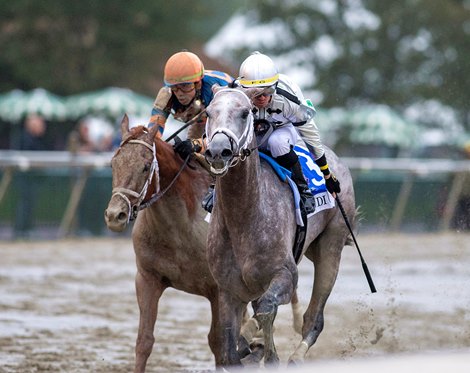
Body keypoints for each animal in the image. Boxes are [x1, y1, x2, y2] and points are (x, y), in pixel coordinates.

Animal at [103, 115, 302, 370]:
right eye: (113, 164)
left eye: (146, 166)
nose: (115, 215)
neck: (179, 228)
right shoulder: (147, 279)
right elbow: (144, 341)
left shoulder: (218, 290)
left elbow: (218, 343)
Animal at [205, 88, 356, 368]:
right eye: (208, 113)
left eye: (245, 113)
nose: (219, 151)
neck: (244, 218)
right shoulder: (228, 290)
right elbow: (230, 352)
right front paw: (248, 345)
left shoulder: (285, 275)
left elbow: (266, 309)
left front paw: (254, 343)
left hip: (331, 245)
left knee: (313, 318)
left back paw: (296, 355)